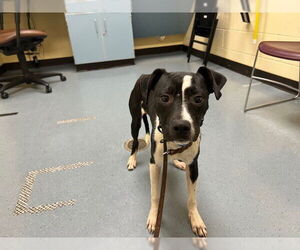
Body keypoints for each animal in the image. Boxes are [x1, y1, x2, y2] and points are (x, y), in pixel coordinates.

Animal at [126, 66, 225, 236]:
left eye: (198, 99)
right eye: (165, 98)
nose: (181, 126)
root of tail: (144, 76)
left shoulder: (193, 166)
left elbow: (192, 197)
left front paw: (195, 219)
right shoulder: (154, 164)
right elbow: (155, 195)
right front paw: (154, 216)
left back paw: (178, 161)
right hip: (135, 120)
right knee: (135, 141)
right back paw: (132, 159)